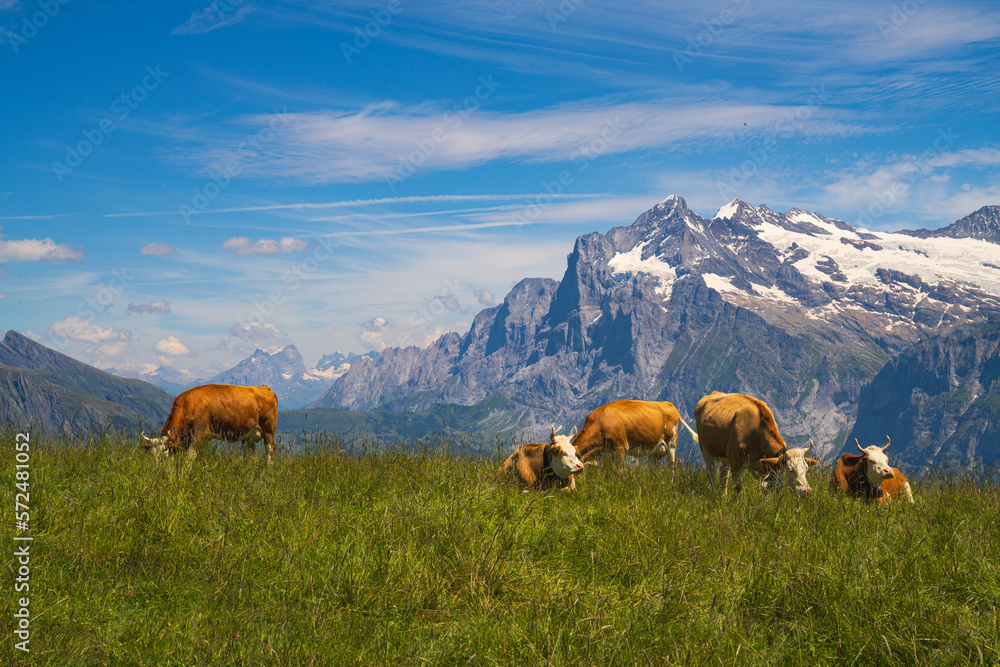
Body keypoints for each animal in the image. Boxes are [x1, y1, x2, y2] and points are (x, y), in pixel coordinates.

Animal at [141, 384, 278, 464]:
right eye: (153, 455)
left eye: (165, 454)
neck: (187, 405)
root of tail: (263, 387)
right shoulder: (187, 438)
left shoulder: (200, 433)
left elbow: (190, 456)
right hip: (248, 435)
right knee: (249, 454)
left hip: (269, 430)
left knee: (269, 449)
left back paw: (268, 470)